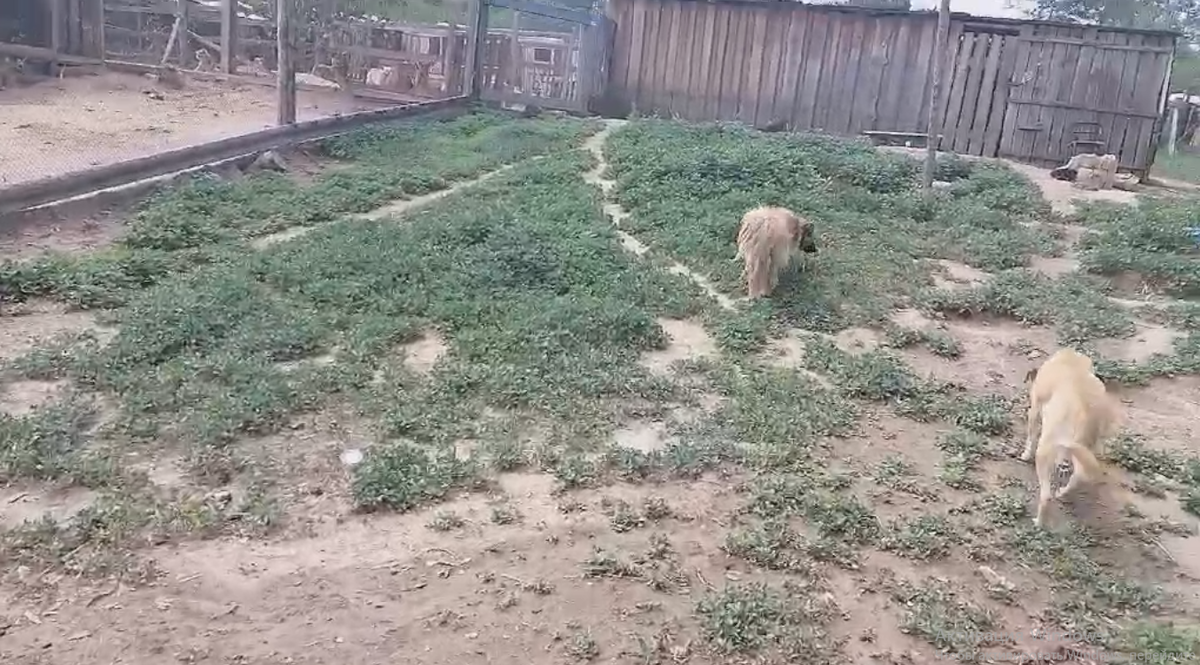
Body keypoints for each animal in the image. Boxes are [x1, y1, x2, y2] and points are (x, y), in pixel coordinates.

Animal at [1022, 345, 1123, 528]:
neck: (1070, 359)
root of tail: (1086, 413)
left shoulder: (1034, 410)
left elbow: (1031, 436)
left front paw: (1025, 455)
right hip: (1083, 449)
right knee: (1079, 476)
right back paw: (1062, 492)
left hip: (1047, 450)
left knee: (1046, 496)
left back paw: (1039, 522)